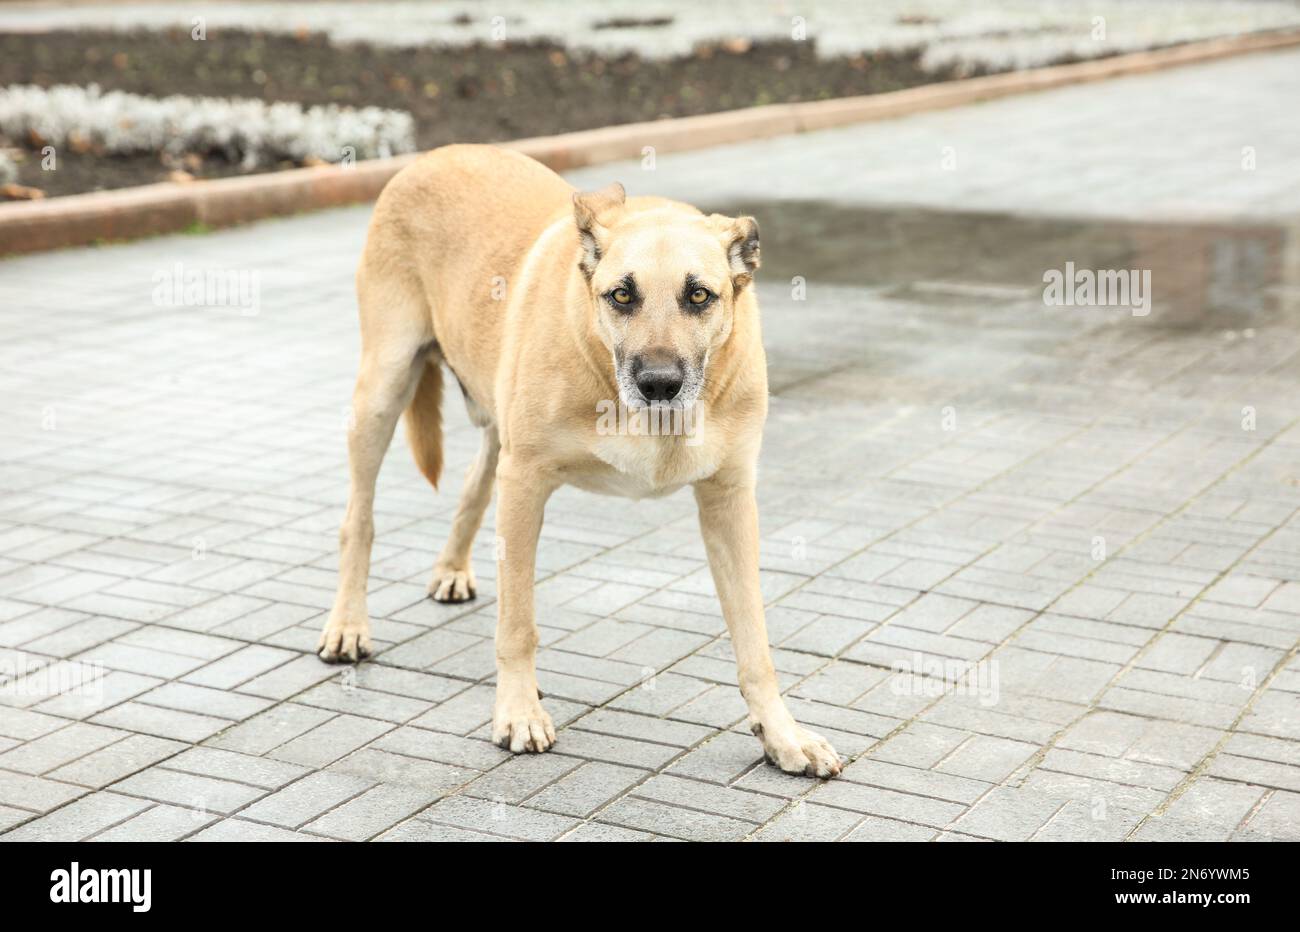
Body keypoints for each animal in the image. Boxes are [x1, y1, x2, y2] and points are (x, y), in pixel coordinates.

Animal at [314, 145, 842, 774]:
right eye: (622, 295)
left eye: (699, 295)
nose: (658, 384)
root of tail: (436, 154)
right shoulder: (525, 483)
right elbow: (518, 623)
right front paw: (518, 711)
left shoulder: (729, 501)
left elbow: (754, 639)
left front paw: (782, 733)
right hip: (383, 390)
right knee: (358, 520)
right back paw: (348, 625)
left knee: (473, 481)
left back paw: (452, 567)